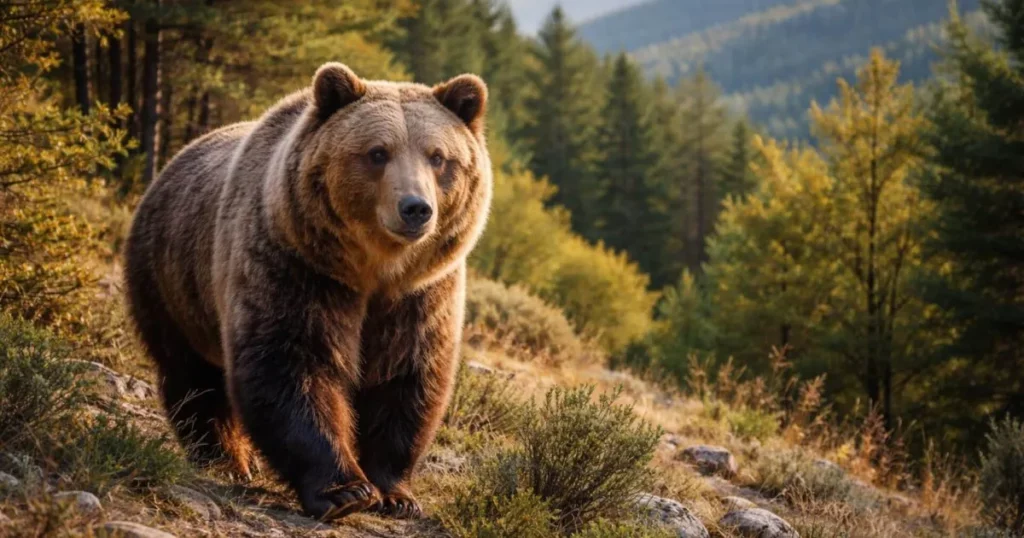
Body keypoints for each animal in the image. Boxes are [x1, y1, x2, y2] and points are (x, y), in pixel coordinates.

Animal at [123, 62, 491, 521]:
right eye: (377, 152)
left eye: (438, 156)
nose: (415, 208)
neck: (374, 270)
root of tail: (172, 164)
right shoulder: (297, 266)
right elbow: (293, 364)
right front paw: (345, 491)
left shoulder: (419, 296)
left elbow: (406, 379)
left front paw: (397, 495)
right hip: (172, 281)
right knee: (193, 375)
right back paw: (225, 459)